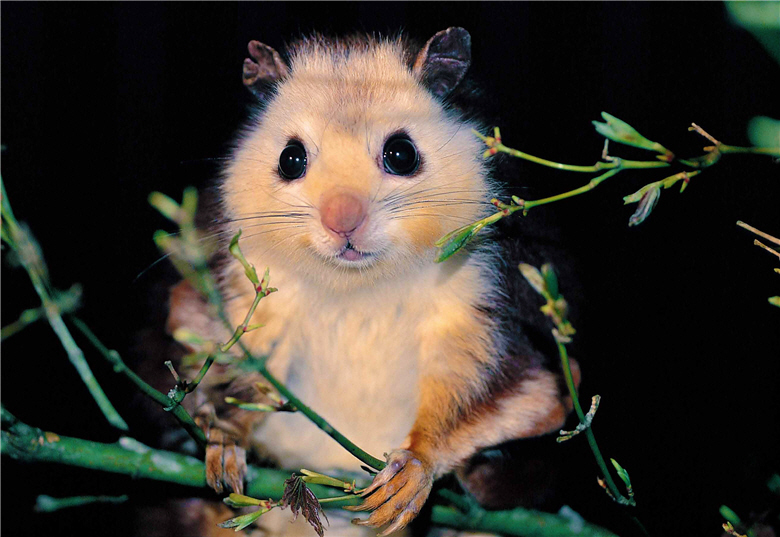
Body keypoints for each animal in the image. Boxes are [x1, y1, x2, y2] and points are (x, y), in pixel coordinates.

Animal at [159, 27, 581, 537]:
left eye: (402, 153)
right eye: (290, 158)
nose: (343, 221)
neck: (356, 287)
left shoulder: (486, 305)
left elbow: (503, 392)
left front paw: (410, 474)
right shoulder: (241, 293)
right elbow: (234, 370)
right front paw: (223, 439)